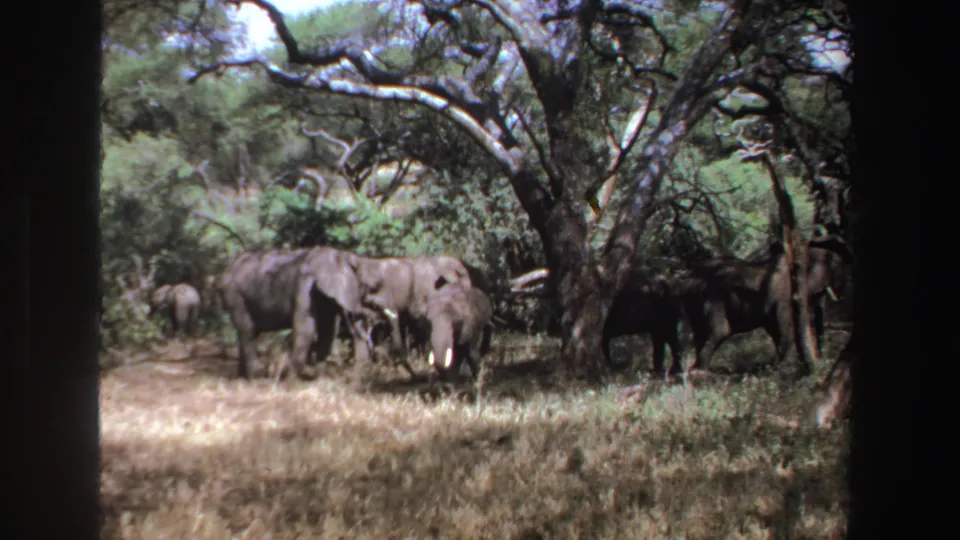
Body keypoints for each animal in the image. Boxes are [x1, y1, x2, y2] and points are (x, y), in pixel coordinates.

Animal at [218, 246, 375, 380]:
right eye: (369, 287)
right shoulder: (305, 286)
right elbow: (306, 329)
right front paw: (291, 379)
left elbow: (327, 331)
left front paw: (319, 378)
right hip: (234, 294)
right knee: (248, 330)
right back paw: (256, 375)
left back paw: (242, 377)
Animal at [678, 233, 854, 377]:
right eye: (835, 267)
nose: (822, 360)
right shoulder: (783, 297)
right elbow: (785, 330)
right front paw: (781, 369)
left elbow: (776, 330)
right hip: (712, 301)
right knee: (719, 331)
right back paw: (699, 372)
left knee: (700, 334)